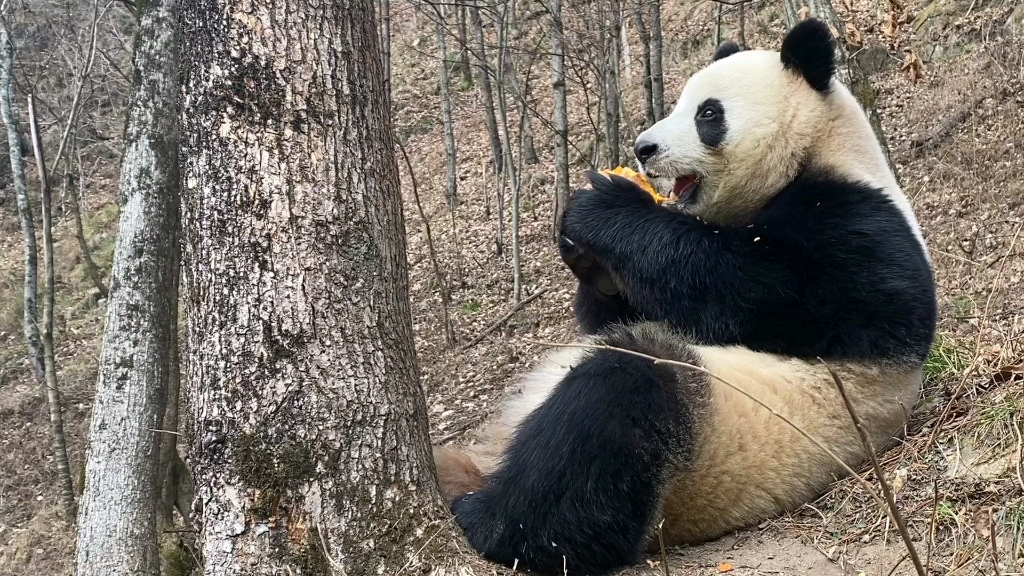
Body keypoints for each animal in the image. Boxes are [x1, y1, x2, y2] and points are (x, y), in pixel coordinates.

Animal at [432, 17, 937, 573]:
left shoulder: (857, 229)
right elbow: (615, 313)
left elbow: (754, 296)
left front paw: (605, 205)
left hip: (706, 447)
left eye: (707, 114)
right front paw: (586, 257)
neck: (817, 152)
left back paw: (487, 517)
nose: (643, 148)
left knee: (619, 399)